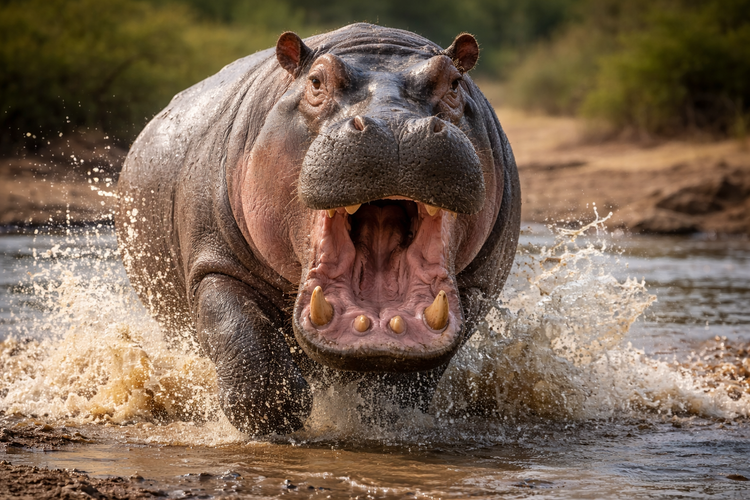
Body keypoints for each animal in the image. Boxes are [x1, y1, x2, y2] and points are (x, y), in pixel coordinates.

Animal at [116, 23, 520, 435]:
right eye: (315, 81)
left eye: (454, 83)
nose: (396, 126)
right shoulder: (215, 262)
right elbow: (239, 335)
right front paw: (277, 413)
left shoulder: (478, 285)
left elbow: (409, 380)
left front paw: (378, 413)